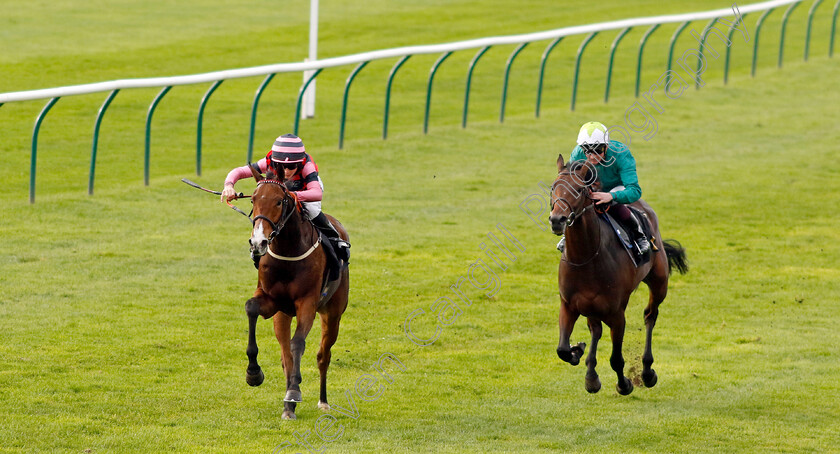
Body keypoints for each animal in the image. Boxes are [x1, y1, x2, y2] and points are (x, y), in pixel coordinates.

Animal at [244, 167, 350, 418]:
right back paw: (287, 405)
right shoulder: (272, 301)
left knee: (323, 355)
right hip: (282, 315)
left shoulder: (308, 303)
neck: (288, 251)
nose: (258, 242)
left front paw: (293, 392)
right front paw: (253, 373)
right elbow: (251, 308)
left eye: (279, 201)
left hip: (333, 313)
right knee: (286, 357)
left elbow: (298, 343)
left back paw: (321, 400)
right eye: (253, 200)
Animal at [548, 154, 684, 396]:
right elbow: (562, 349)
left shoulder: (617, 313)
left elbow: (616, 359)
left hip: (659, 282)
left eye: (579, 190)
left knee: (650, 315)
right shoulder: (569, 304)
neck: (586, 258)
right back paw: (591, 374)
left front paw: (625, 384)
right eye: (554, 188)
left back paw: (647, 372)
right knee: (596, 328)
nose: (557, 220)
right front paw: (577, 351)